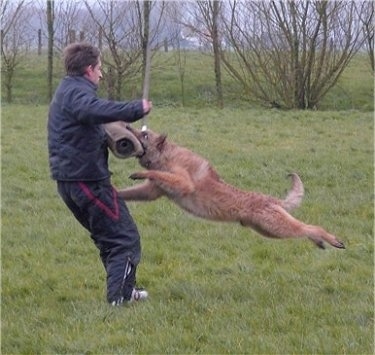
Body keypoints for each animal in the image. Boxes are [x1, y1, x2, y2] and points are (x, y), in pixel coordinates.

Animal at [119, 125, 346, 250]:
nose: (127, 127)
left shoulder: (183, 182)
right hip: (268, 230)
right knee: (306, 230)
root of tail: (271, 200)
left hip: (276, 227)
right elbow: (127, 192)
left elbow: (156, 174)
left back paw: (332, 239)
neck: (166, 156)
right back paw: (319, 241)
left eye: (145, 135)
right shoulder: (151, 192)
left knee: (311, 227)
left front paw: (139, 173)